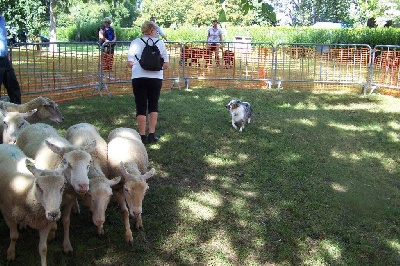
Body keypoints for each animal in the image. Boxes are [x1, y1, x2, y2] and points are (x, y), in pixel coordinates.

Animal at [15, 121, 95, 252]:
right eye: (69, 165)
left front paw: (67, 245)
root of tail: (36, 123)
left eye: (89, 164)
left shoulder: (70, 198)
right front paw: (51, 234)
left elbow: (66, 221)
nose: (83, 186)